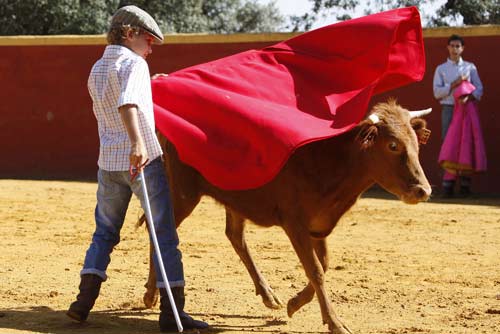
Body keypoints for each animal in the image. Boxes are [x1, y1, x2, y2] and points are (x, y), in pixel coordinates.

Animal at [143, 100, 432, 334]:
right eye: (392, 145)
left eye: (416, 144)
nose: (423, 190)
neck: (330, 162)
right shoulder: (295, 224)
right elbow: (315, 270)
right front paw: (335, 323)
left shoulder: (318, 224)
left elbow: (323, 264)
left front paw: (294, 304)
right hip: (182, 193)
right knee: (160, 230)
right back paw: (151, 294)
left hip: (235, 199)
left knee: (235, 236)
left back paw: (268, 295)